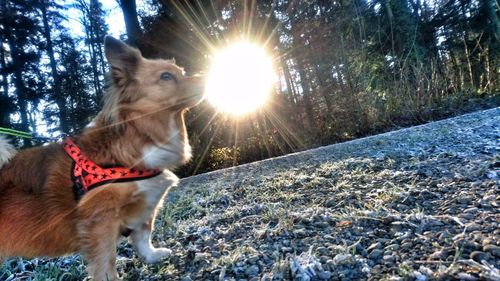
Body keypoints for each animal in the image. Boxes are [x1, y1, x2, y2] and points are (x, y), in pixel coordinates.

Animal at [0, 36, 205, 278]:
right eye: (166, 76)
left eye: (182, 72)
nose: (207, 77)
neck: (137, 136)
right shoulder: (100, 221)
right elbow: (106, 260)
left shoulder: (145, 206)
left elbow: (144, 235)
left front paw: (152, 255)